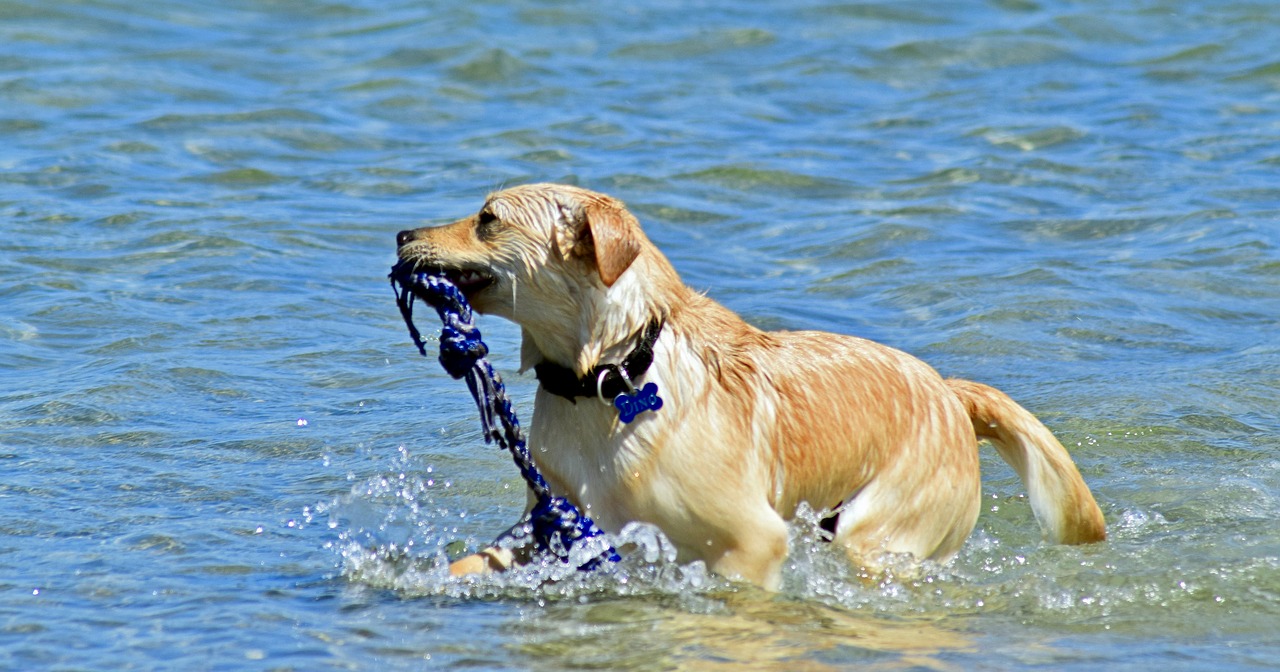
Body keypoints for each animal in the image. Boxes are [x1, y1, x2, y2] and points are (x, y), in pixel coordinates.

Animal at [394, 183, 1105, 586]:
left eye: (488, 219)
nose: (401, 234)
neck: (611, 375)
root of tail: (950, 392)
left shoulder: (752, 542)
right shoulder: (556, 525)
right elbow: (475, 561)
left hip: (878, 536)